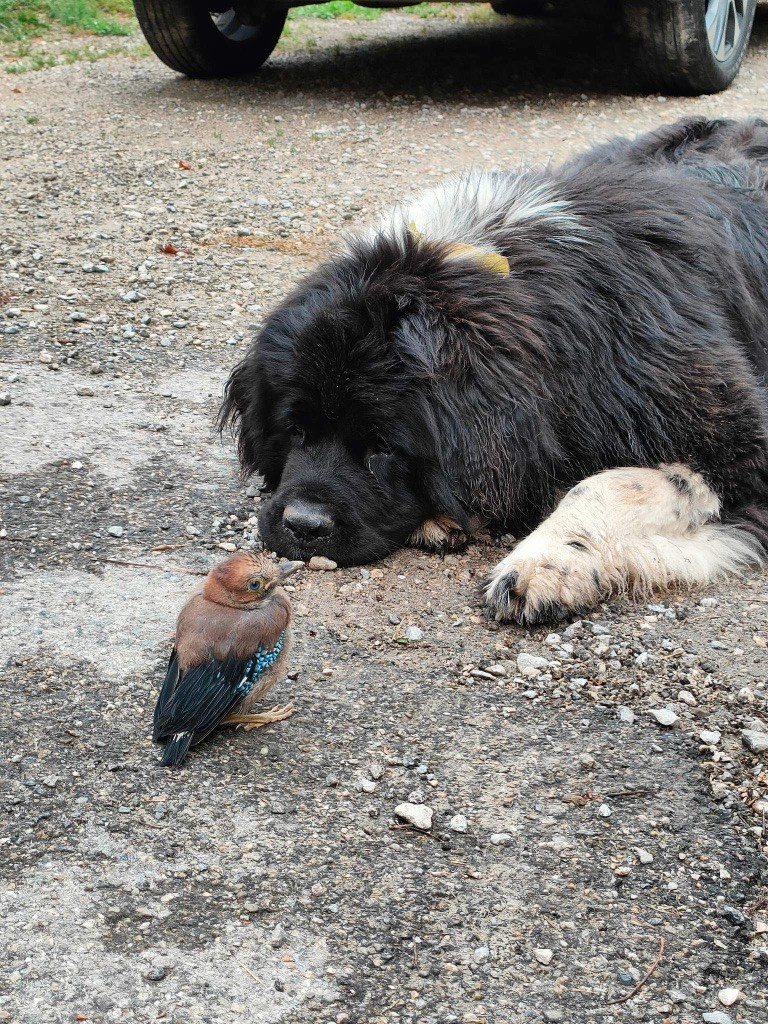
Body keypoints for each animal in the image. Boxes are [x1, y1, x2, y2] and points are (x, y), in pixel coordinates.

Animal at [222, 121, 768, 622]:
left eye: (385, 448)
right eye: (295, 429)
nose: (303, 525)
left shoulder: (729, 427)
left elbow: (611, 483)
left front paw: (546, 561)